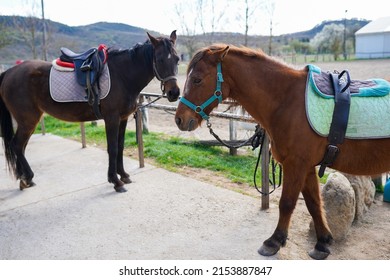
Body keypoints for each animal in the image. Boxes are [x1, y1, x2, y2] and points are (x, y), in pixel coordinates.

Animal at [0, 30, 180, 192]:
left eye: (177, 59)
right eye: (160, 59)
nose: (174, 93)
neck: (122, 76)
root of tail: (9, 72)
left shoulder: (123, 118)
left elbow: (120, 146)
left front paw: (123, 175)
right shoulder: (112, 118)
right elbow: (112, 148)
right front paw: (115, 181)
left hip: (29, 121)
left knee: (21, 146)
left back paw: (24, 179)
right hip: (28, 120)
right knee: (17, 145)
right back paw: (27, 177)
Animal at [174, 44, 390, 260]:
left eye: (197, 79)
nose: (179, 119)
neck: (288, 100)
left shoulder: (296, 164)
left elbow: (287, 203)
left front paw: (274, 241)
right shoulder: (307, 167)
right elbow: (313, 203)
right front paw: (322, 243)